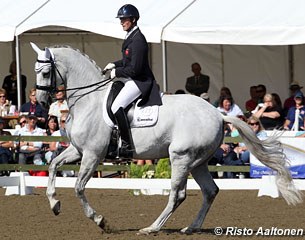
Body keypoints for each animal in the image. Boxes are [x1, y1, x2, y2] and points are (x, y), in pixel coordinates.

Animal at [30, 42, 302, 234]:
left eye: (45, 72)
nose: (41, 102)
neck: (89, 100)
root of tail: (217, 113)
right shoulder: (78, 150)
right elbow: (53, 165)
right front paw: (54, 204)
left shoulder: (92, 154)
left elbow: (78, 187)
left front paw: (101, 221)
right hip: (198, 162)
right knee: (210, 191)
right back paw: (190, 228)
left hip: (181, 157)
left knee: (178, 194)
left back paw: (152, 228)